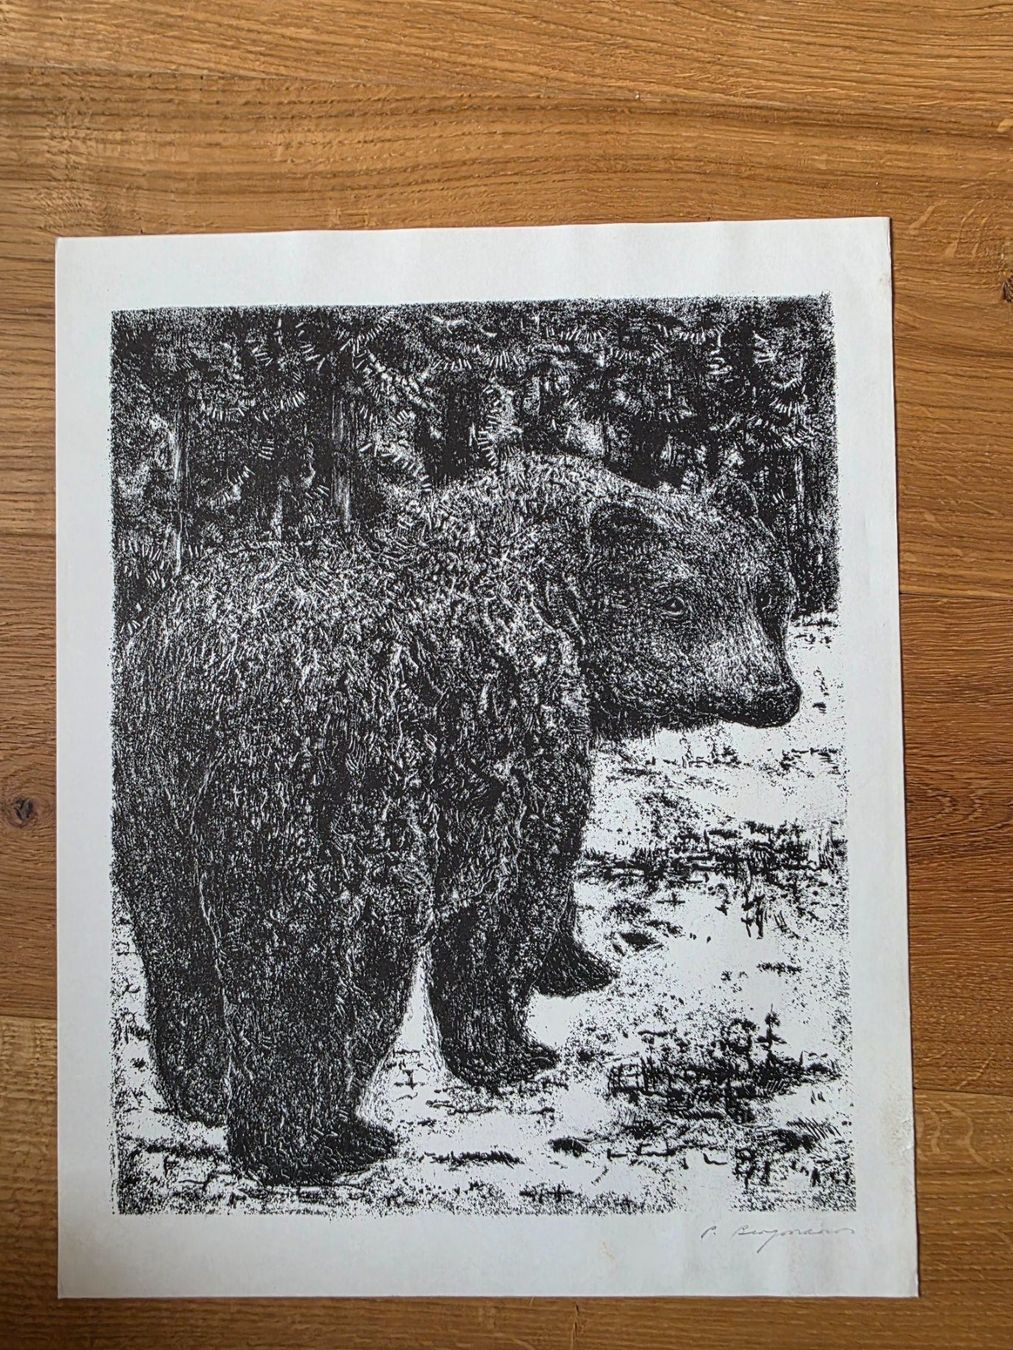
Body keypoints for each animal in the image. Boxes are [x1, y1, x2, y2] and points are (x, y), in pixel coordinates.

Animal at [113, 453, 801, 1185]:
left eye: (768, 594)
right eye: (677, 599)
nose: (774, 692)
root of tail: (215, 681)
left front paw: (573, 965)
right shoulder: (525, 736)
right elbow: (509, 903)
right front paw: (511, 1044)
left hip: (155, 795)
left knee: (179, 945)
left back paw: (203, 1094)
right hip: (330, 799)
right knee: (324, 961)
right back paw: (318, 1142)